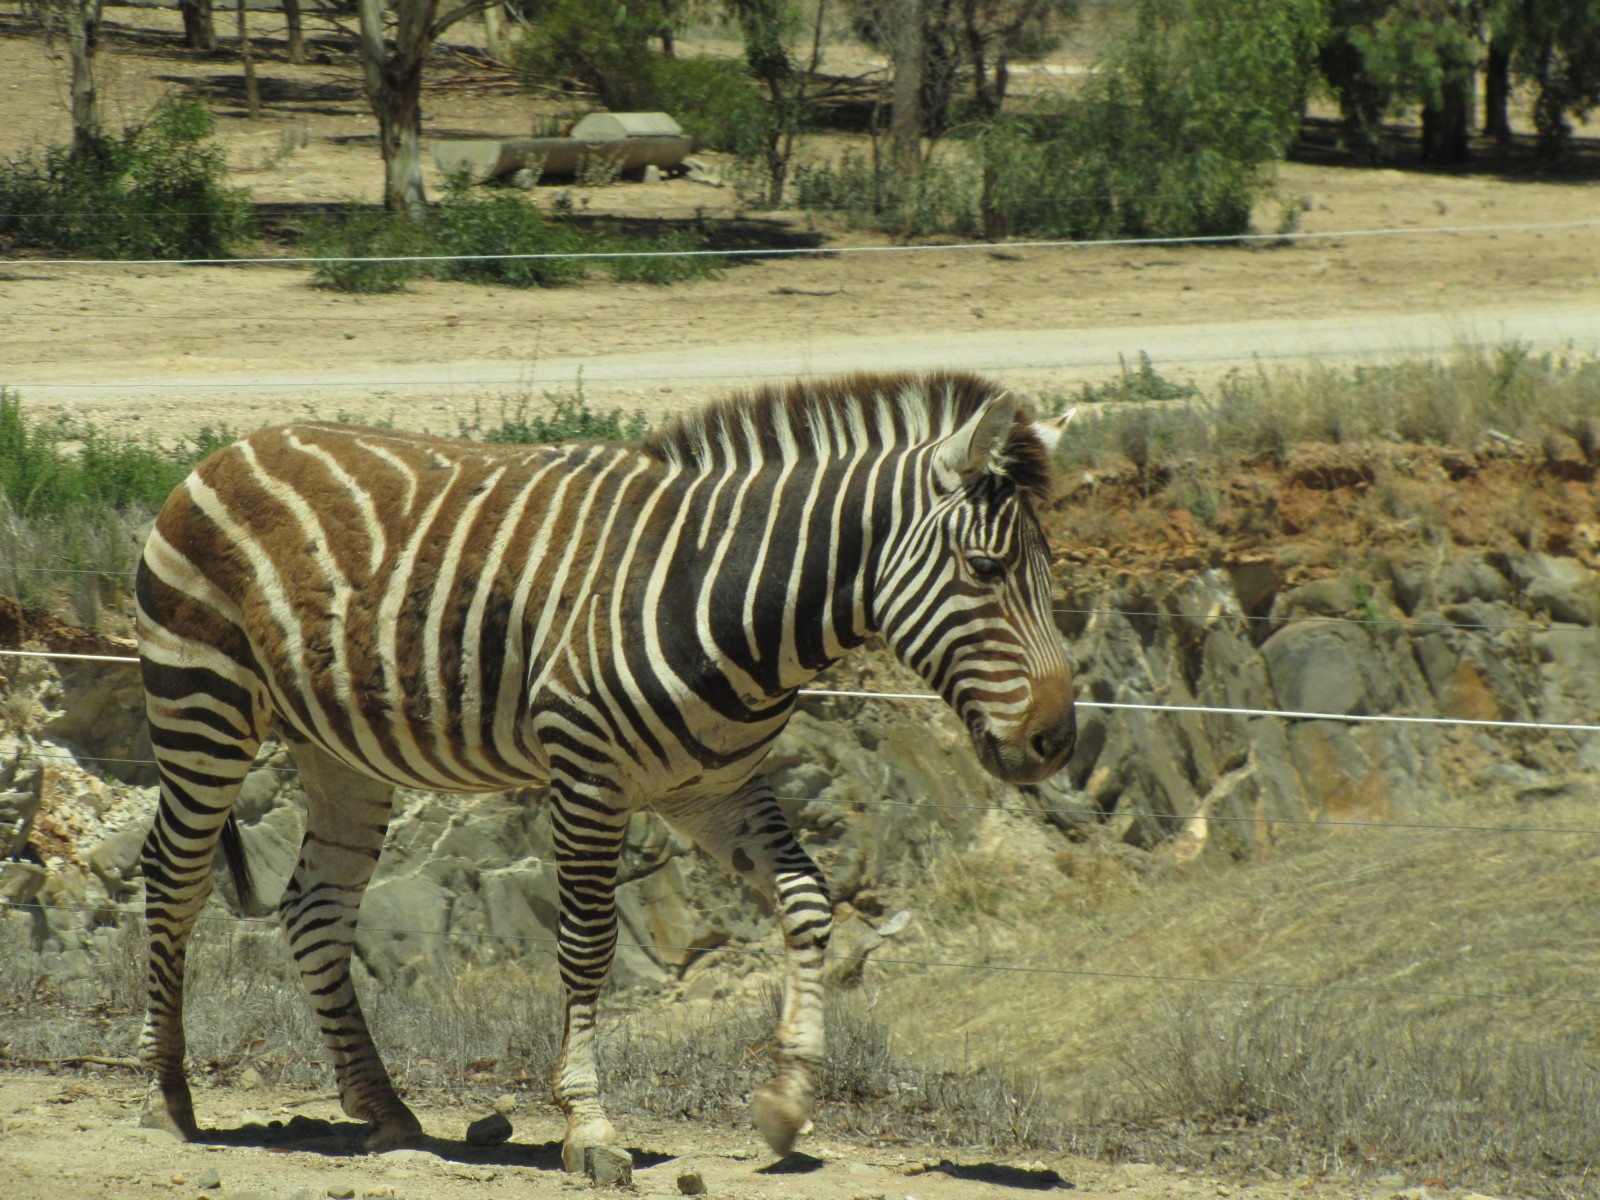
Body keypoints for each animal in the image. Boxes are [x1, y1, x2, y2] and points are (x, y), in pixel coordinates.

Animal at [135, 370, 1077, 1168]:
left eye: (1047, 572)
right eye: (986, 569)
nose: (1057, 741)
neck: (727, 595)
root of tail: (232, 446)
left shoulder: (713, 790)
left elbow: (808, 903)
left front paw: (786, 1102)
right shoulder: (587, 772)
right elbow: (588, 945)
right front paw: (589, 1123)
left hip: (338, 752)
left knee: (315, 909)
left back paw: (385, 1109)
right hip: (202, 704)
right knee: (172, 878)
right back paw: (166, 1097)